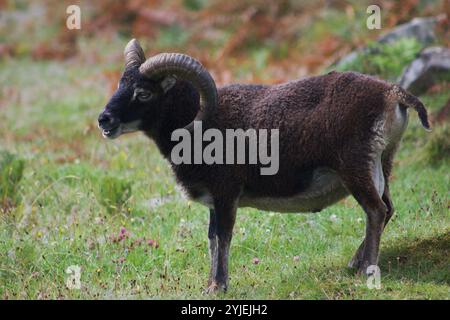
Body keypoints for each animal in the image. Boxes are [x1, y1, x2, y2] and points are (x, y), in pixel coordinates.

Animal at [96, 39, 430, 292]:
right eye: (120, 85)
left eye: (143, 92)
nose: (104, 120)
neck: (196, 123)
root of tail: (393, 94)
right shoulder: (214, 200)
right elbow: (212, 238)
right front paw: (211, 284)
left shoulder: (226, 193)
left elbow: (223, 236)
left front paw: (218, 286)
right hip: (382, 162)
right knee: (388, 208)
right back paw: (354, 263)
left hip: (356, 167)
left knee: (376, 210)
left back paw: (365, 272)